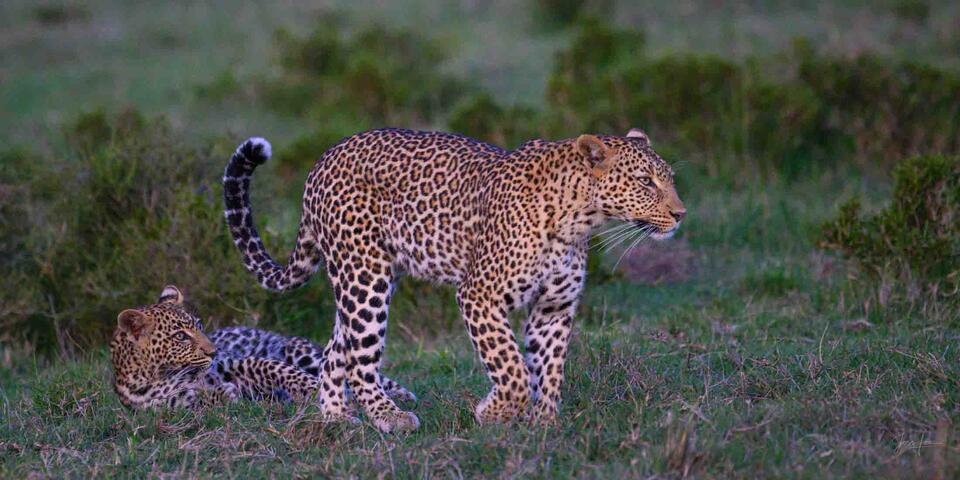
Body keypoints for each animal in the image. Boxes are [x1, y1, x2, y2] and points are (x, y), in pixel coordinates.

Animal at [110, 285, 414, 412]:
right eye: (180, 337)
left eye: (198, 325)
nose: (213, 351)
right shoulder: (168, 404)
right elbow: (201, 399)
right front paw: (225, 394)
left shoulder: (234, 363)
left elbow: (272, 368)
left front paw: (313, 389)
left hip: (298, 349)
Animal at [222, 127, 685, 433]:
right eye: (645, 182)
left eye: (670, 180)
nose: (680, 214)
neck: (579, 218)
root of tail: (322, 160)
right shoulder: (480, 294)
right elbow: (512, 369)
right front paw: (494, 412)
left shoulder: (553, 309)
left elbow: (549, 370)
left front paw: (544, 425)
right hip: (365, 276)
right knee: (358, 358)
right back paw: (391, 418)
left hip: (366, 277)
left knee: (338, 348)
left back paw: (337, 417)